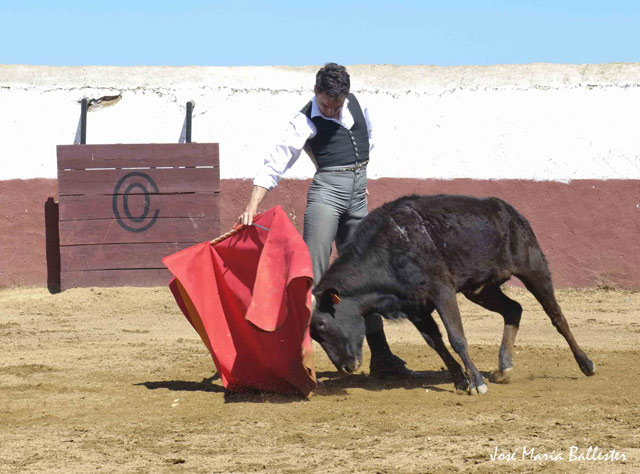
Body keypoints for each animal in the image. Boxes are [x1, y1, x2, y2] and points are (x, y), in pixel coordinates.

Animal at [310, 194, 596, 394]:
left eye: (323, 325)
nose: (347, 367)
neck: (389, 250)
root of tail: (508, 209)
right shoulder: (414, 306)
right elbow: (435, 342)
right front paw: (460, 380)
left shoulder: (442, 291)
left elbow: (456, 337)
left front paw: (477, 383)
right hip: (480, 289)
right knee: (514, 309)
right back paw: (504, 367)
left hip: (533, 267)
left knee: (556, 316)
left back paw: (586, 364)